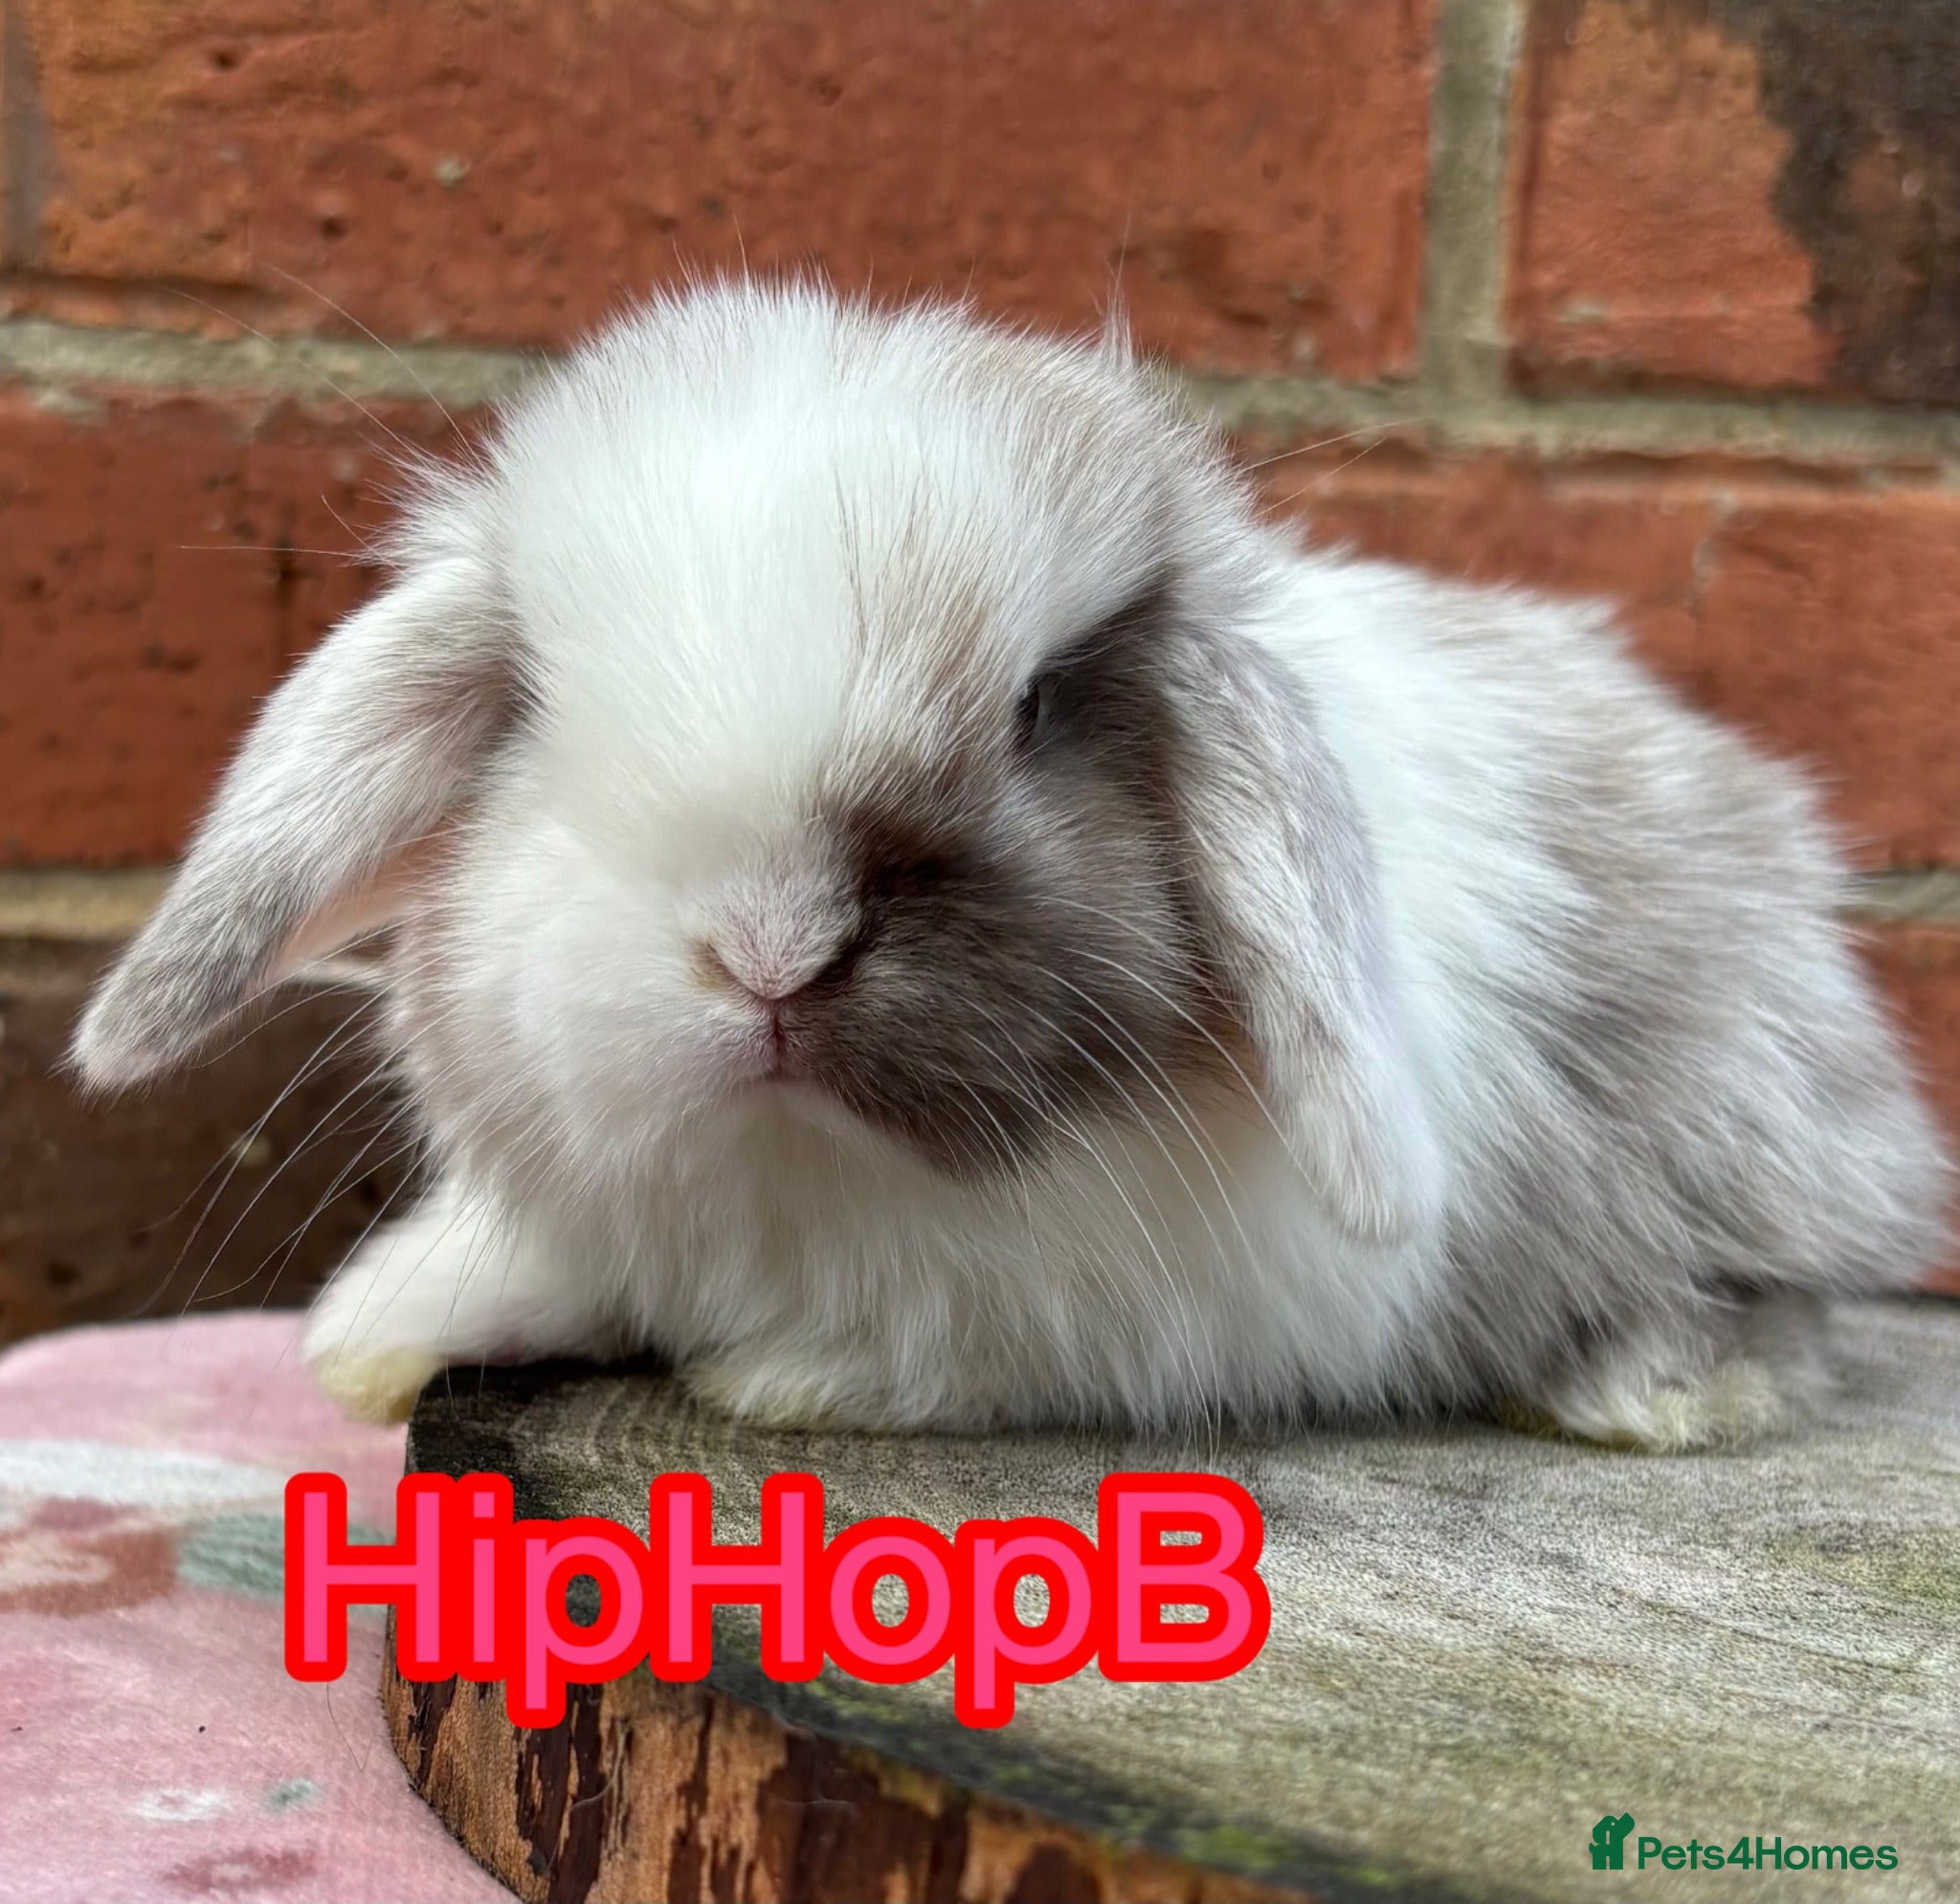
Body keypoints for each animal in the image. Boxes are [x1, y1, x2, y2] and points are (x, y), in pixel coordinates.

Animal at [72, 278, 1953, 1449]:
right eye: (533, 702)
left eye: (1041, 707)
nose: (768, 950)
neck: (811, 1174)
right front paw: (374, 1342)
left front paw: (791, 1382)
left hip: (1742, 1138)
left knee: (1785, 1294)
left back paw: (1653, 1393)